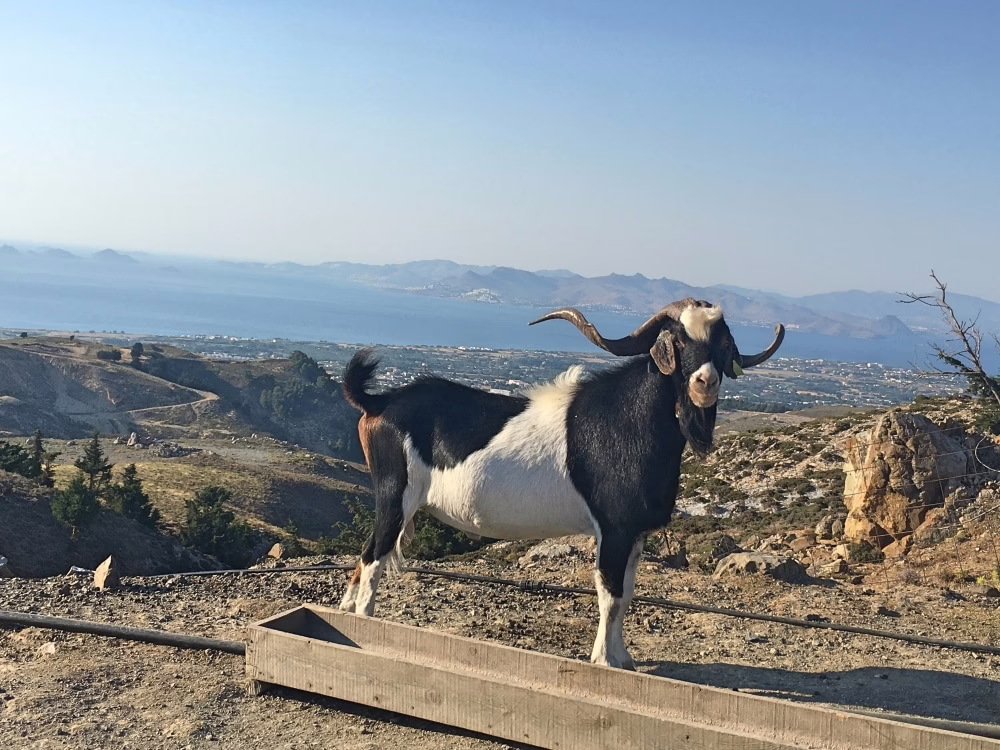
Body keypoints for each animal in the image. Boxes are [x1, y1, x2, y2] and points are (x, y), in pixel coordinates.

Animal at [338, 297, 784, 669]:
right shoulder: (613, 528)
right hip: (394, 495)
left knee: (364, 557)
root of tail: (379, 402)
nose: (704, 382)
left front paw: (624, 658)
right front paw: (604, 661)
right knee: (374, 558)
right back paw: (364, 622)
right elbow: (610, 593)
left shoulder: (634, 532)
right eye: (675, 339)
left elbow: (628, 591)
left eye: (722, 342)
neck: (627, 417)